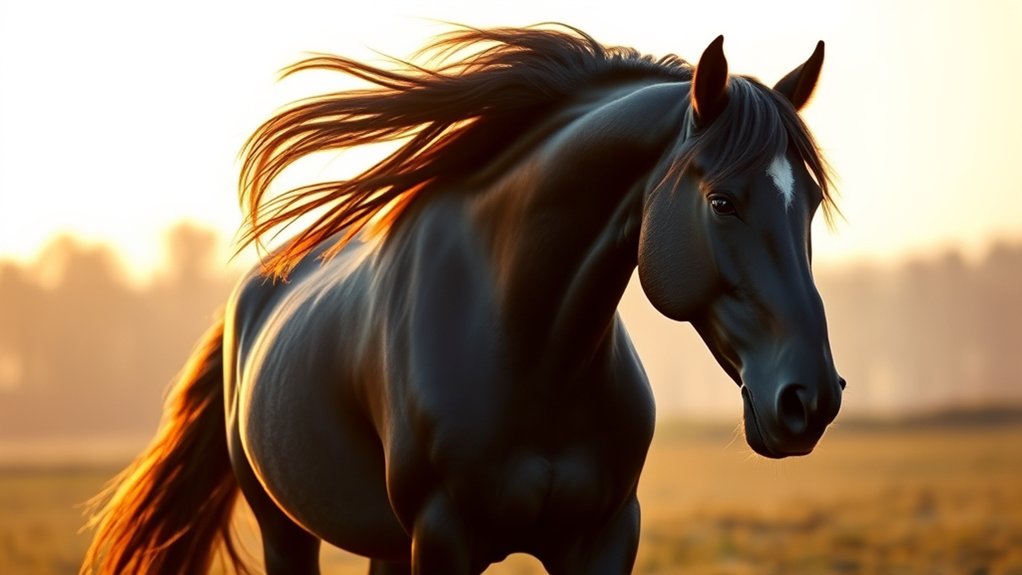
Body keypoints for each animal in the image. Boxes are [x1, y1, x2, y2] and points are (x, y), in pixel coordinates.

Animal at [82, 24, 844, 575]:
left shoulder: (604, 536)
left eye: (809, 204)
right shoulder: (443, 538)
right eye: (722, 202)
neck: (531, 354)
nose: (810, 399)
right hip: (285, 529)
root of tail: (250, 296)